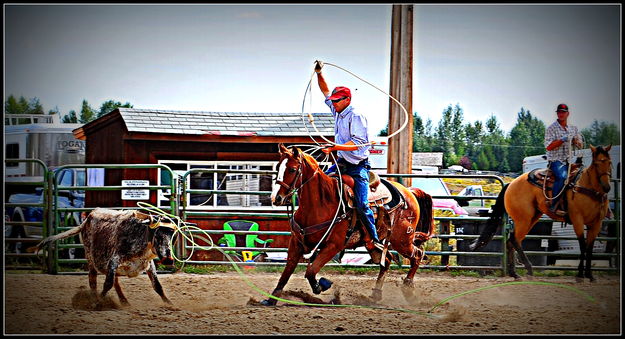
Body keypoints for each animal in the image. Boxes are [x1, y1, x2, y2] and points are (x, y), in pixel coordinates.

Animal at [260, 143, 434, 306]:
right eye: (278, 167)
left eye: (292, 169)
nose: (276, 198)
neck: (321, 203)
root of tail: (409, 191)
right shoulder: (296, 244)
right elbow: (286, 273)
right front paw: (271, 299)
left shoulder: (333, 246)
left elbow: (311, 270)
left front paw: (321, 285)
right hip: (372, 242)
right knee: (387, 260)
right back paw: (375, 295)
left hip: (402, 240)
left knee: (417, 254)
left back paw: (408, 289)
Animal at [470, 145, 612, 282]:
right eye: (597, 163)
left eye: (609, 162)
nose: (607, 187)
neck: (588, 188)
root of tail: (511, 184)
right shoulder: (578, 220)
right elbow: (583, 246)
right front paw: (580, 276)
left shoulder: (596, 223)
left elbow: (589, 248)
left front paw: (590, 275)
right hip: (523, 219)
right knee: (514, 239)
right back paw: (529, 269)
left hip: (532, 218)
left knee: (512, 241)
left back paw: (515, 274)